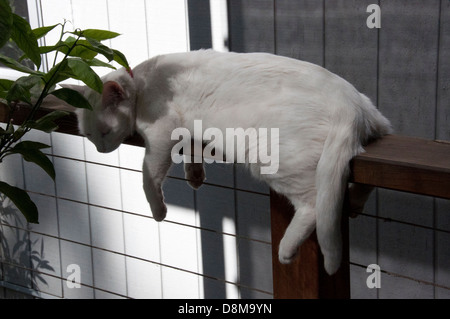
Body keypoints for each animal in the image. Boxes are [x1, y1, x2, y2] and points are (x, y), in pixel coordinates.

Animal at [72, 50, 392, 276]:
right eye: (88, 135)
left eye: (103, 132)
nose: (100, 150)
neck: (141, 81)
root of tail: (350, 104)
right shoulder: (186, 132)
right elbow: (191, 151)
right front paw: (195, 175)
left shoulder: (162, 133)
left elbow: (149, 177)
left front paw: (159, 211)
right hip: (377, 130)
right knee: (359, 185)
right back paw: (354, 204)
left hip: (270, 157)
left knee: (313, 203)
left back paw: (287, 250)